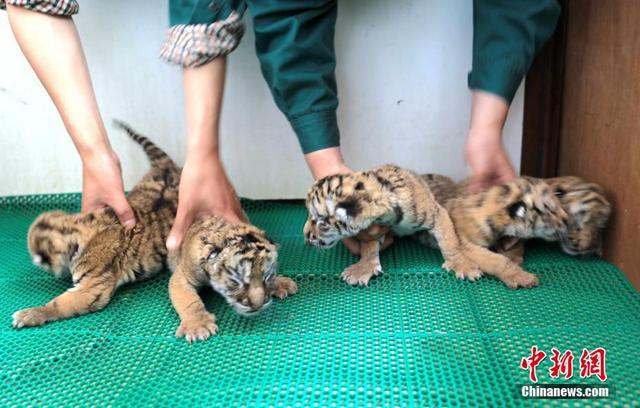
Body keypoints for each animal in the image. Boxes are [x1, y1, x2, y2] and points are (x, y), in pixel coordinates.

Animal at [168, 216, 298, 342]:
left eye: (267, 277)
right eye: (236, 281)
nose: (258, 306)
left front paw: (282, 284)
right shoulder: (182, 276)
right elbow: (189, 300)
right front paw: (198, 325)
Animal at [303, 164, 542, 289]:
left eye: (320, 221)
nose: (306, 236)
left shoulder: (438, 214)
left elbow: (451, 243)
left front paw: (462, 265)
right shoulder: (377, 227)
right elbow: (369, 247)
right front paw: (364, 267)